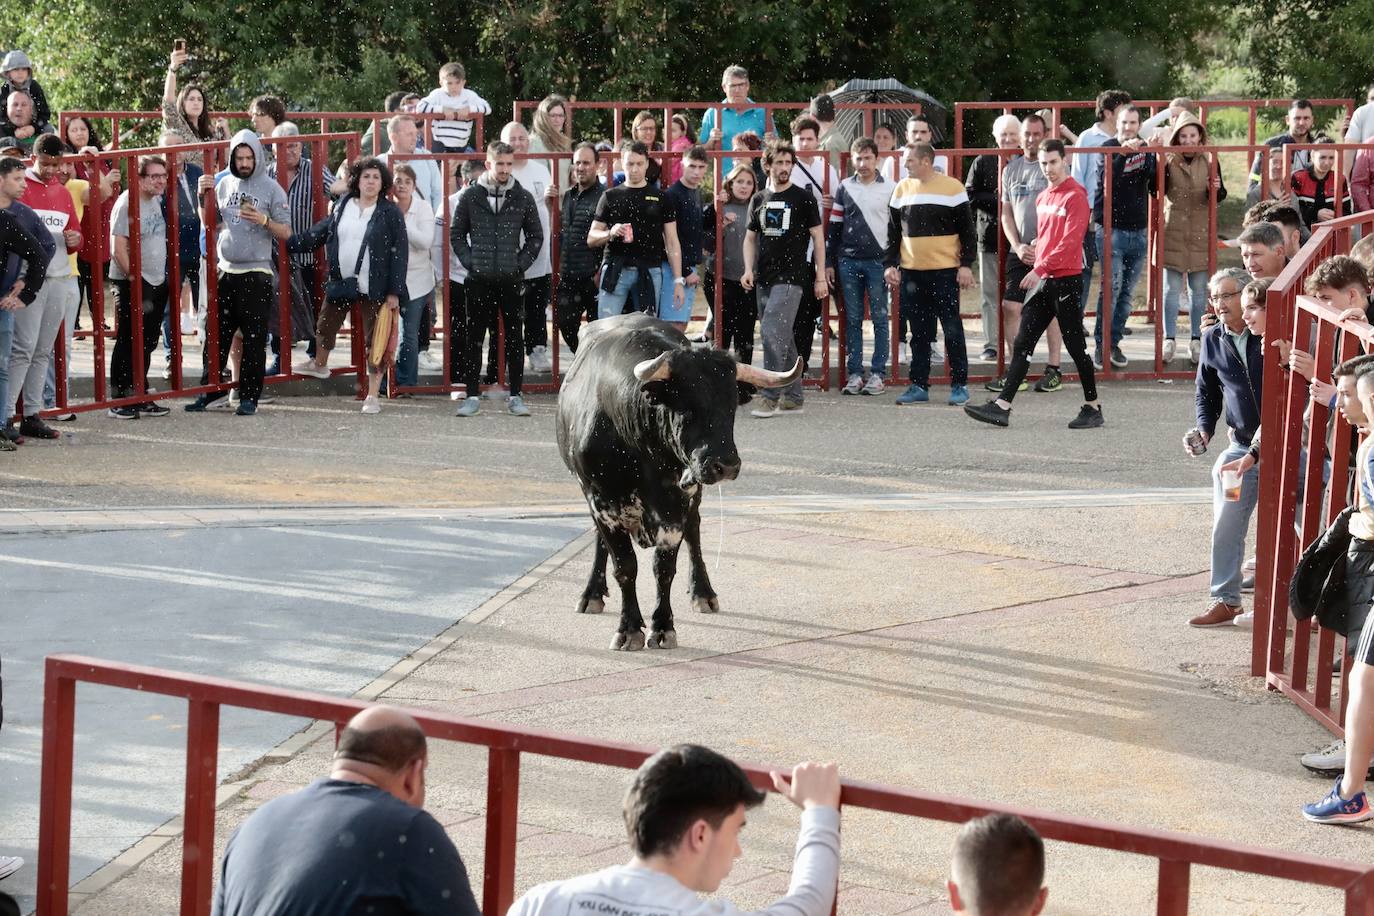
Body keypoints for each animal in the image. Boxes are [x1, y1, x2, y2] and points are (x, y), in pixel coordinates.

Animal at [552, 315, 802, 650]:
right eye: (687, 405)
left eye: (732, 406)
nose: (726, 465)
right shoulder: (601, 500)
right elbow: (625, 566)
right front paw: (629, 628)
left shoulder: (674, 506)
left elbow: (664, 569)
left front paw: (662, 626)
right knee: (599, 539)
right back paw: (592, 593)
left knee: (694, 532)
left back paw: (703, 593)